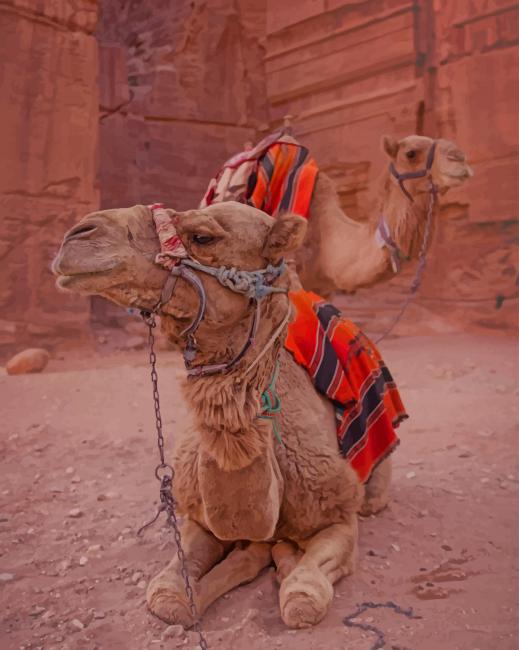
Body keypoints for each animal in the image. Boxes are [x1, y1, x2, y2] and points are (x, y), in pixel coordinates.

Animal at [53, 201, 396, 630]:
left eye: (203, 236)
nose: (78, 234)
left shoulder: (338, 514)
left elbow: (303, 598)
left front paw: (283, 559)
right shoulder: (198, 519)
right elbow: (169, 596)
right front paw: (249, 558)